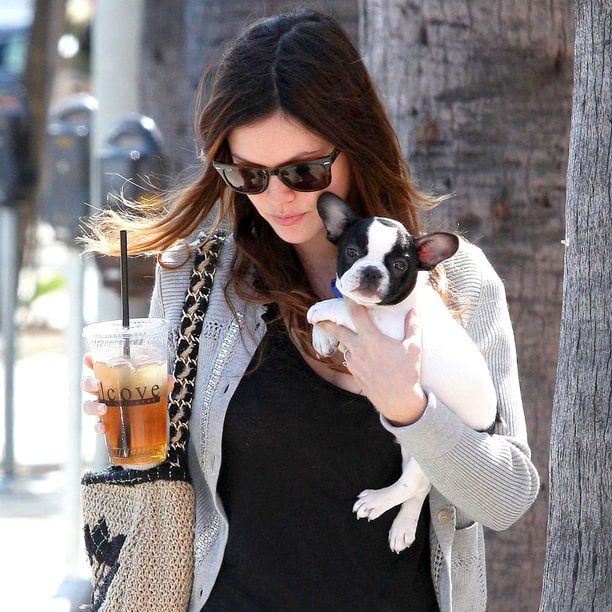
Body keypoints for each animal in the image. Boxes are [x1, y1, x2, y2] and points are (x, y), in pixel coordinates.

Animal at [306, 192, 498, 556]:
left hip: (432, 447)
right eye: (352, 252)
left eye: (398, 265)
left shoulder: (390, 330)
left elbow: (339, 306)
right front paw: (322, 337)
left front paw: (320, 310)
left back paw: (378, 502)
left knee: (413, 483)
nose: (370, 272)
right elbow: (341, 303)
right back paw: (404, 527)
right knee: (419, 488)